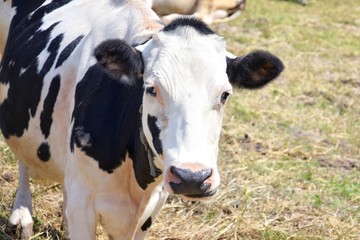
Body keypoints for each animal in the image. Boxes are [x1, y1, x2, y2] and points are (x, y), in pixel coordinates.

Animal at [0, 0, 284, 238]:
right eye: (151, 88)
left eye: (225, 94)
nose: (192, 177)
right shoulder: (84, 204)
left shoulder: (151, 208)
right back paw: (22, 216)